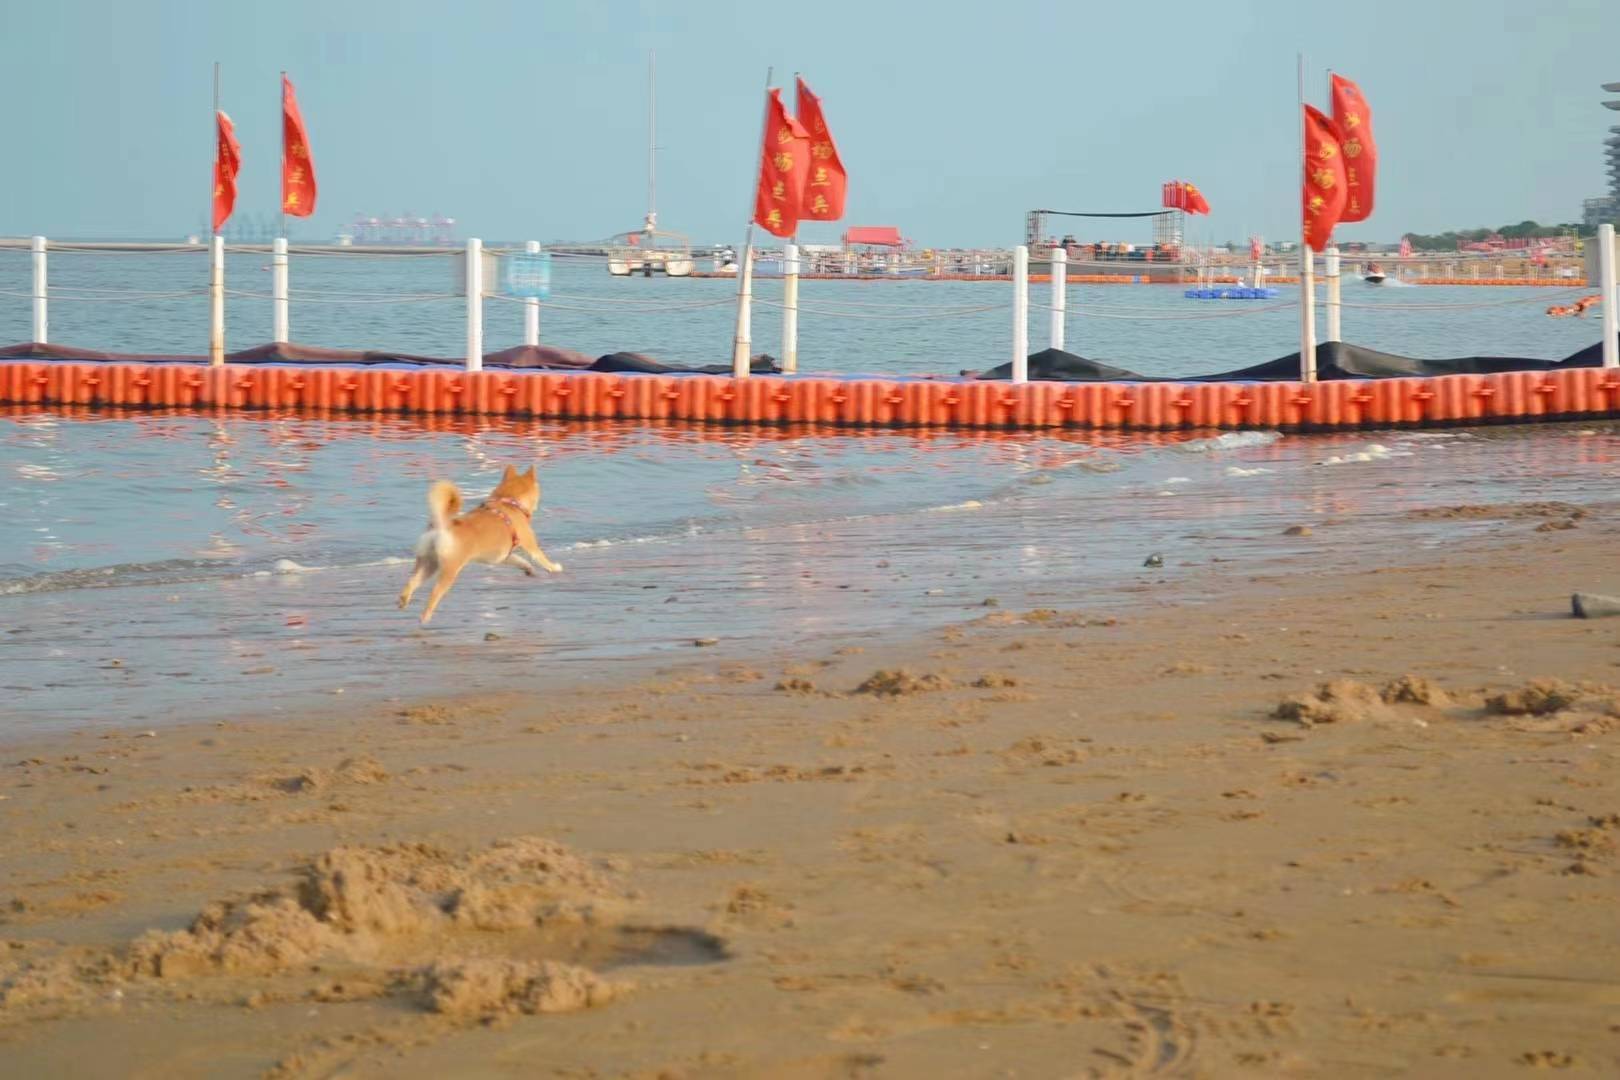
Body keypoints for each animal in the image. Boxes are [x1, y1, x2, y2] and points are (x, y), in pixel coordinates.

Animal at [398, 466, 563, 625]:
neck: (509, 502)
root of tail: (442, 525)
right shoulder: (530, 546)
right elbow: (541, 558)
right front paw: (554, 568)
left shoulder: (503, 557)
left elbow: (520, 560)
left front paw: (528, 569)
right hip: (449, 570)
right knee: (435, 593)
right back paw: (425, 616)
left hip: (428, 564)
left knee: (411, 582)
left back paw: (403, 600)